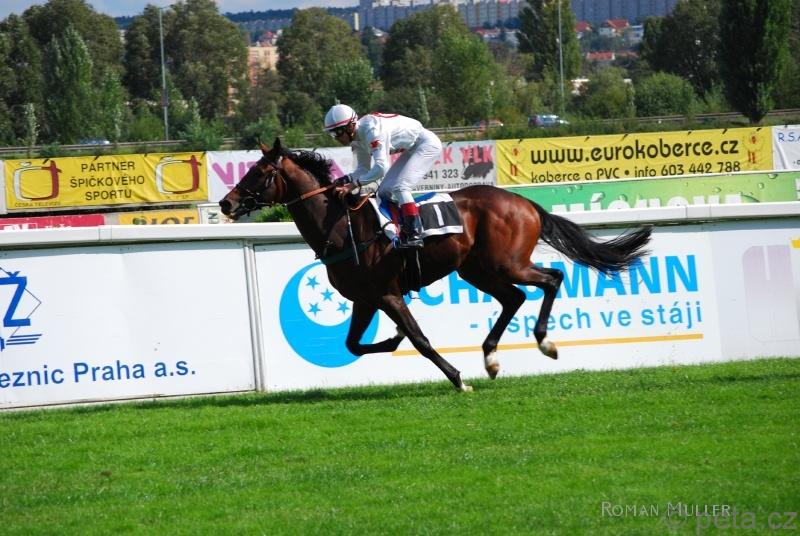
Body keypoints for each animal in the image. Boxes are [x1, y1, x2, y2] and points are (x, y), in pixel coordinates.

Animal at [219, 138, 652, 392]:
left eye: (260, 172)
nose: (226, 203)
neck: (342, 226)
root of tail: (525, 203)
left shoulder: (388, 293)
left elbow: (420, 340)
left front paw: (457, 379)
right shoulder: (364, 299)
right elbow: (353, 344)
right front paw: (394, 339)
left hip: (506, 262)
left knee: (551, 279)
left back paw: (544, 342)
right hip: (476, 269)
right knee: (514, 298)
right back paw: (491, 357)